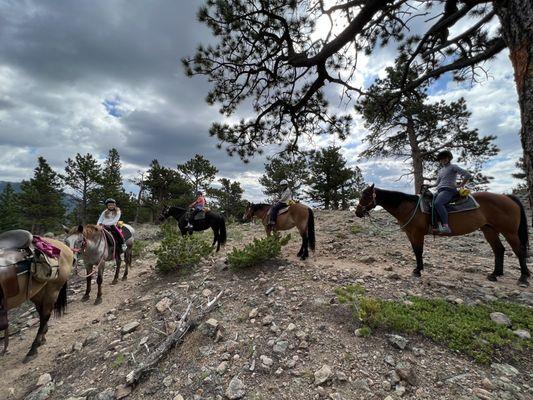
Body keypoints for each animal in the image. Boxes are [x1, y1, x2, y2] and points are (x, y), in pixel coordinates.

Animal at [0, 228, 73, 362]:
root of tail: (65, 247)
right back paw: (42, 338)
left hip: (52, 290)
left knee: (45, 315)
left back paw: (33, 349)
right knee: (41, 313)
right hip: (37, 292)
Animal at [354, 183, 528, 286]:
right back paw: (495, 274)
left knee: (519, 251)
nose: (357, 212)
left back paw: (523, 278)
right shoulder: (410, 234)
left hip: (509, 232)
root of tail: (507, 197)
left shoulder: (417, 233)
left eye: (366, 196)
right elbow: (416, 251)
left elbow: (419, 251)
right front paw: (418, 269)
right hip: (489, 229)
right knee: (499, 250)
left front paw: (418, 271)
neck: (411, 208)